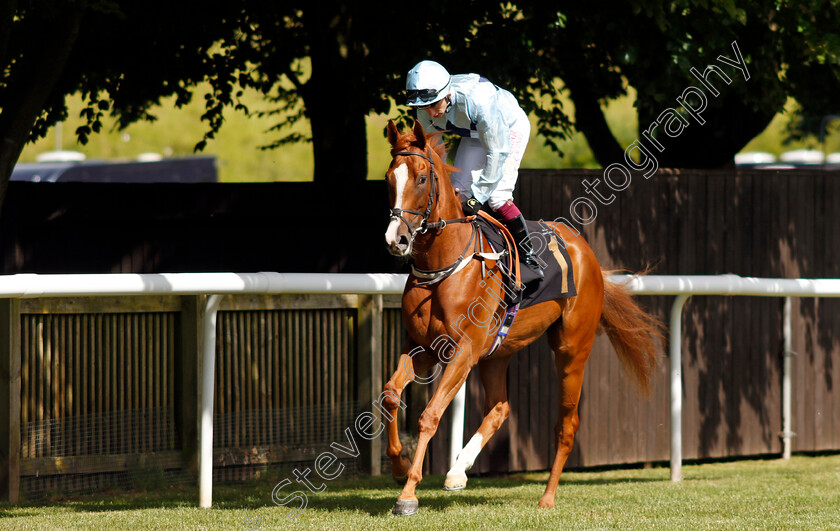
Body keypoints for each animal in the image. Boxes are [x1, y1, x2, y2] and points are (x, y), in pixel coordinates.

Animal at [380, 119, 664, 516]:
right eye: (390, 178)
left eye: (421, 178)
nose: (397, 239)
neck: (445, 264)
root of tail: (588, 255)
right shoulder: (422, 347)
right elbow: (390, 394)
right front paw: (398, 466)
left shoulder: (463, 351)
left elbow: (430, 415)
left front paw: (408, 494)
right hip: (497, 353)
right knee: (501, 407)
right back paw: (458, 472)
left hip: (571, 351)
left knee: (566, 425)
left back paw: (547, 497)